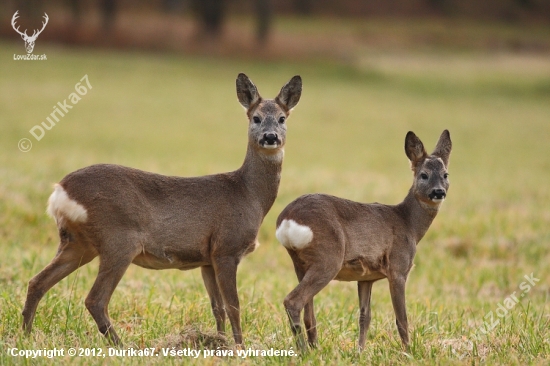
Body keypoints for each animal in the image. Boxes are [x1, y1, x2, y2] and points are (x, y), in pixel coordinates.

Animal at [23, 72, 304, 346]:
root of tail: (61, 190)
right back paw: (122, 345)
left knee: (37, 282)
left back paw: (25, 335)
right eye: (256, 118)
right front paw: (239, 347)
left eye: (282, 118)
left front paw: (219, 342)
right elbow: (234, 306)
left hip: (77, 243)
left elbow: (218, 308)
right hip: (118, 240)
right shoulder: (227, 248)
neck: (249, 195)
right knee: (95, 299)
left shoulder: (207, 258)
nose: (271, 137)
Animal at [276, 130, 452, 350]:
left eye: (446, 175)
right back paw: (304, 351)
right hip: (328, 258)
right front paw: (408, 351)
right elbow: (401, 319)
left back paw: (314, 348)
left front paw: (359, 351)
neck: (408, 224)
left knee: (309, 313)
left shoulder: (366, 277)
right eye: (424, 175)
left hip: (300, 264)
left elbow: (364, 317)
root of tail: (287, 218)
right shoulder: (398, 268)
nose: (438, 192)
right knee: (293, 301)